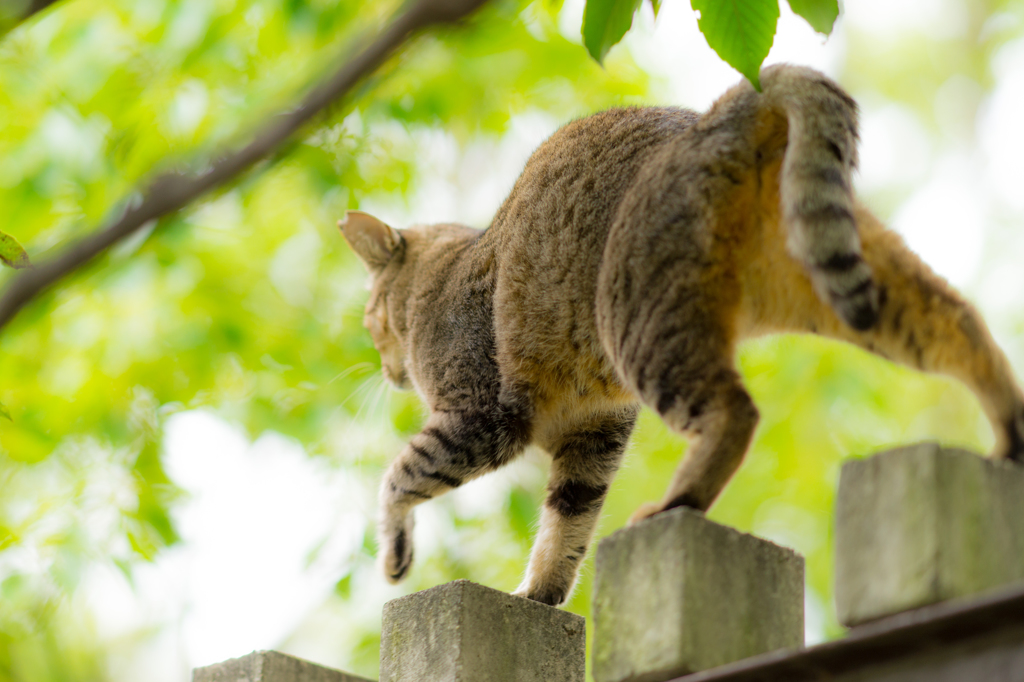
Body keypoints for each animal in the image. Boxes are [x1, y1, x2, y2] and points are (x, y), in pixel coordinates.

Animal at [337, 65, 1024, 606]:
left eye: (370, 319)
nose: (385, 368)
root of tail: (720, 113)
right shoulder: (594, 433)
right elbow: (569, 520)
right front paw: (541, 592)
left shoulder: (483, 417)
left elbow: (399, 477)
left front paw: (395, 552)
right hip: (841, 274)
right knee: (961, 324)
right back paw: (1008, 434)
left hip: (643, 327)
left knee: (736, 412)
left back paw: (678, 502)